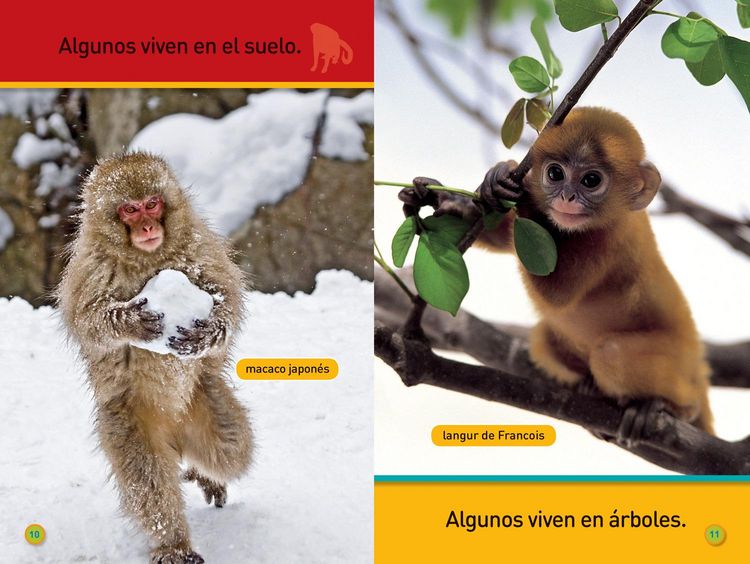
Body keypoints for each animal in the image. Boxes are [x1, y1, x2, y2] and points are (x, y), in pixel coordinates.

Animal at [57, 152, 253, 563]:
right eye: (129, 210)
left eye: (152, 204)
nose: (147, 226)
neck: (147, 258)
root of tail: (173, 428)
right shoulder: (90, 269)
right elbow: (89, 324)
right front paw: (129, 322)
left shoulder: (201, 250)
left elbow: (228, 299)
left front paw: (210, 332)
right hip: (126, 421)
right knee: (149, 480)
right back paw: (173, 544)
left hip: (203, 402)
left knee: (231, 450)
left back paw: (204, 473)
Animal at [400, 107, 713, 438]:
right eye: (555, 174)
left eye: (591, 180)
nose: (566, 198)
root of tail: (698, 368)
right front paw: (463, 197)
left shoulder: (608, 238)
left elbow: (557, 295)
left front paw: (511, 189)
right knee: (544, 339)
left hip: (679, 362)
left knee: (612, 354)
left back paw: (669, 407)